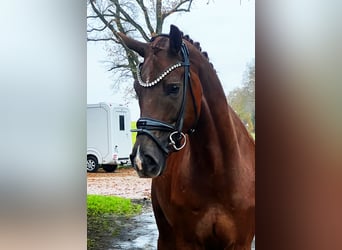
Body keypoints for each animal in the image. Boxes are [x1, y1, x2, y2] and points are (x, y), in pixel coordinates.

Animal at [117, 24, 254, 249]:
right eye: (137, 90)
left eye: (174, 87)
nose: (141, 160)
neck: (218, 172)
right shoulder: (187, 241)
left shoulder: (241, 243)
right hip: (165, 236)